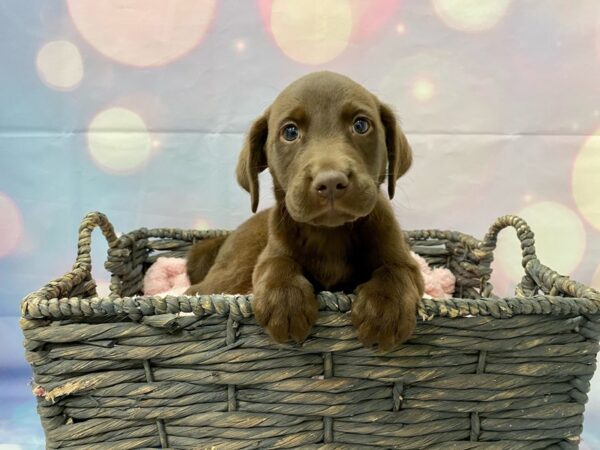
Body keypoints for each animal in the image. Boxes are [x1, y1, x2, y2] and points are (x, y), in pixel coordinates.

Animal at [185, 72, 424, 350]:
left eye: (361, 125)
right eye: (290, 132)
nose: (330, 182)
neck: (331, 234)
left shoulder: (404, 259)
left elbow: (396, 272)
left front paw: (384, 311)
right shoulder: (271, 252)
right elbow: (276, 264)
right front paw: (285, 302)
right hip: (233, 272)